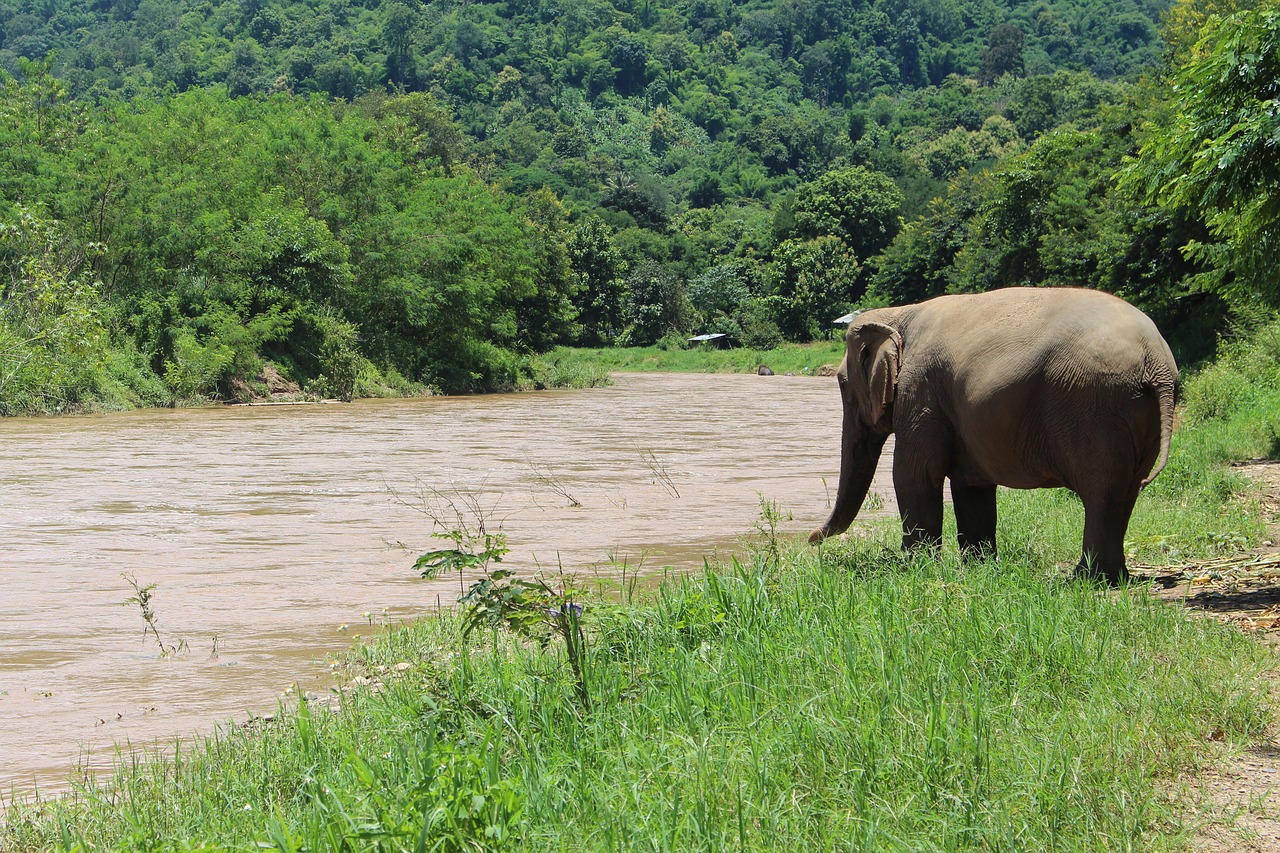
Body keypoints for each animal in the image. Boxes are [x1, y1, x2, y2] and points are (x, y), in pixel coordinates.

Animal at [814, 285, 1172, 584]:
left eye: (842, 384)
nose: (811, 541)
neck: (899, 312)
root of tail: (1158, 361)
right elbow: (971, 485)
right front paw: (979, 566)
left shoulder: (921, 393)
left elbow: (913, 474)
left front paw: (913, 565)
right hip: (1133, 412)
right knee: (1126, 492)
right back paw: (1113, 577)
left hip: (1095, 407)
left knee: (1103, 491)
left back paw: (1087, 579)